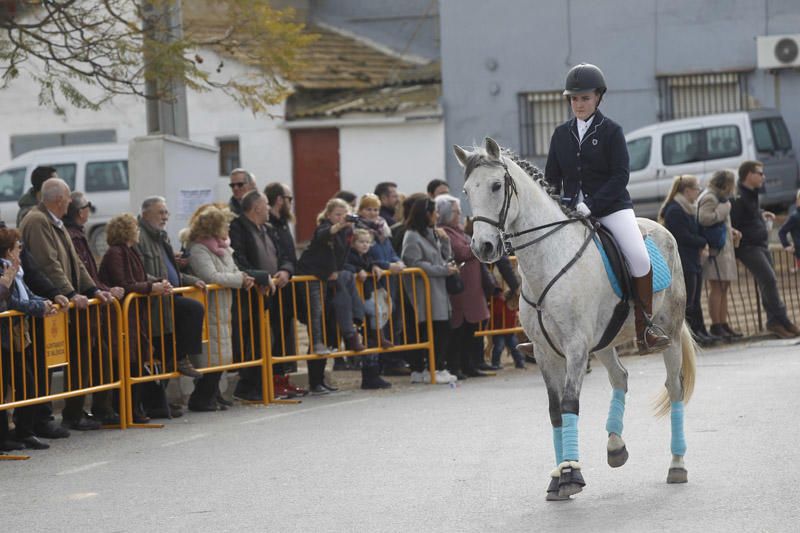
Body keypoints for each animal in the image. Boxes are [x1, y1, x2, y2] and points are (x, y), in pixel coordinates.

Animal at [456, 136, 692, 498]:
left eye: (496, 186)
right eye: (467, 191)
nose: (483, 247)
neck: (547, 261)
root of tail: (660, 228)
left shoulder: (576, 348)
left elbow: (569, 404)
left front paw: (571, 476)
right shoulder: (545, 352)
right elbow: (555, 411)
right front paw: (559, 475)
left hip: (670, 333)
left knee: (675, 388)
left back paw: (677, 465)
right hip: (605, 340)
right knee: (620, 377)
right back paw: (615, 447)